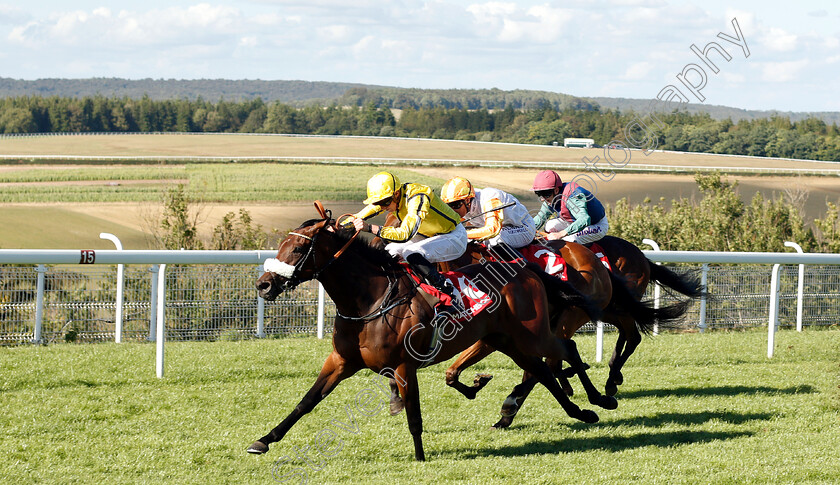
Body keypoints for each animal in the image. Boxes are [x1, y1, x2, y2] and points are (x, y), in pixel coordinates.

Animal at [246, 202, 612, 460]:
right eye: (281, 244)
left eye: (297, 249)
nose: (264, 285)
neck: (368, 301)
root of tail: (528, 271)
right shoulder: (341, 361)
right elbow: (306, 402)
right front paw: (263, 440)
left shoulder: (404, 365)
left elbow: (414, 415)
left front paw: (420, 458)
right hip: (507, 340)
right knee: (543, 372)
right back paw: (574, 411)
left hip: (532, 334)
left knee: (565, 351)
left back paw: (600, 398)